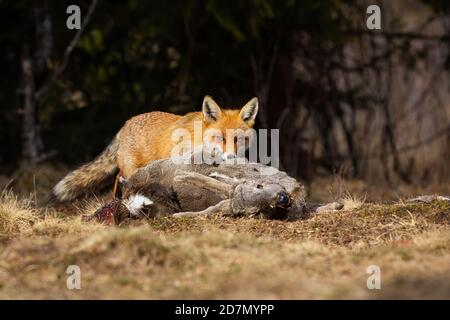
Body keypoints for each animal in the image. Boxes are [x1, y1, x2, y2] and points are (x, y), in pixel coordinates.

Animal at [51, 95, 256, 201]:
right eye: (220, 138)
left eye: (239, 139)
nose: (231, 157)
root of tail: (125, 123)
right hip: (133, 169)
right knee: (120, 179)